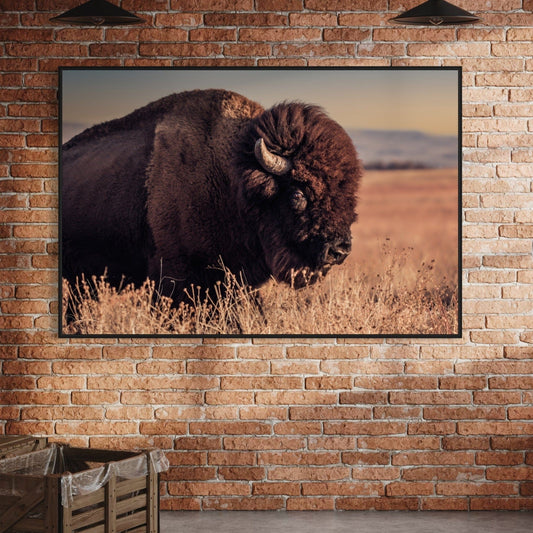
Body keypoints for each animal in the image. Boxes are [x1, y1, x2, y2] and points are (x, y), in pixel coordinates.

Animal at [61, 89, 362, 302]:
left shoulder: (233, 280)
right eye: (298, 193)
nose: (340, 250)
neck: (233, 179)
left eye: (348, 196)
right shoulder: (174, 275)